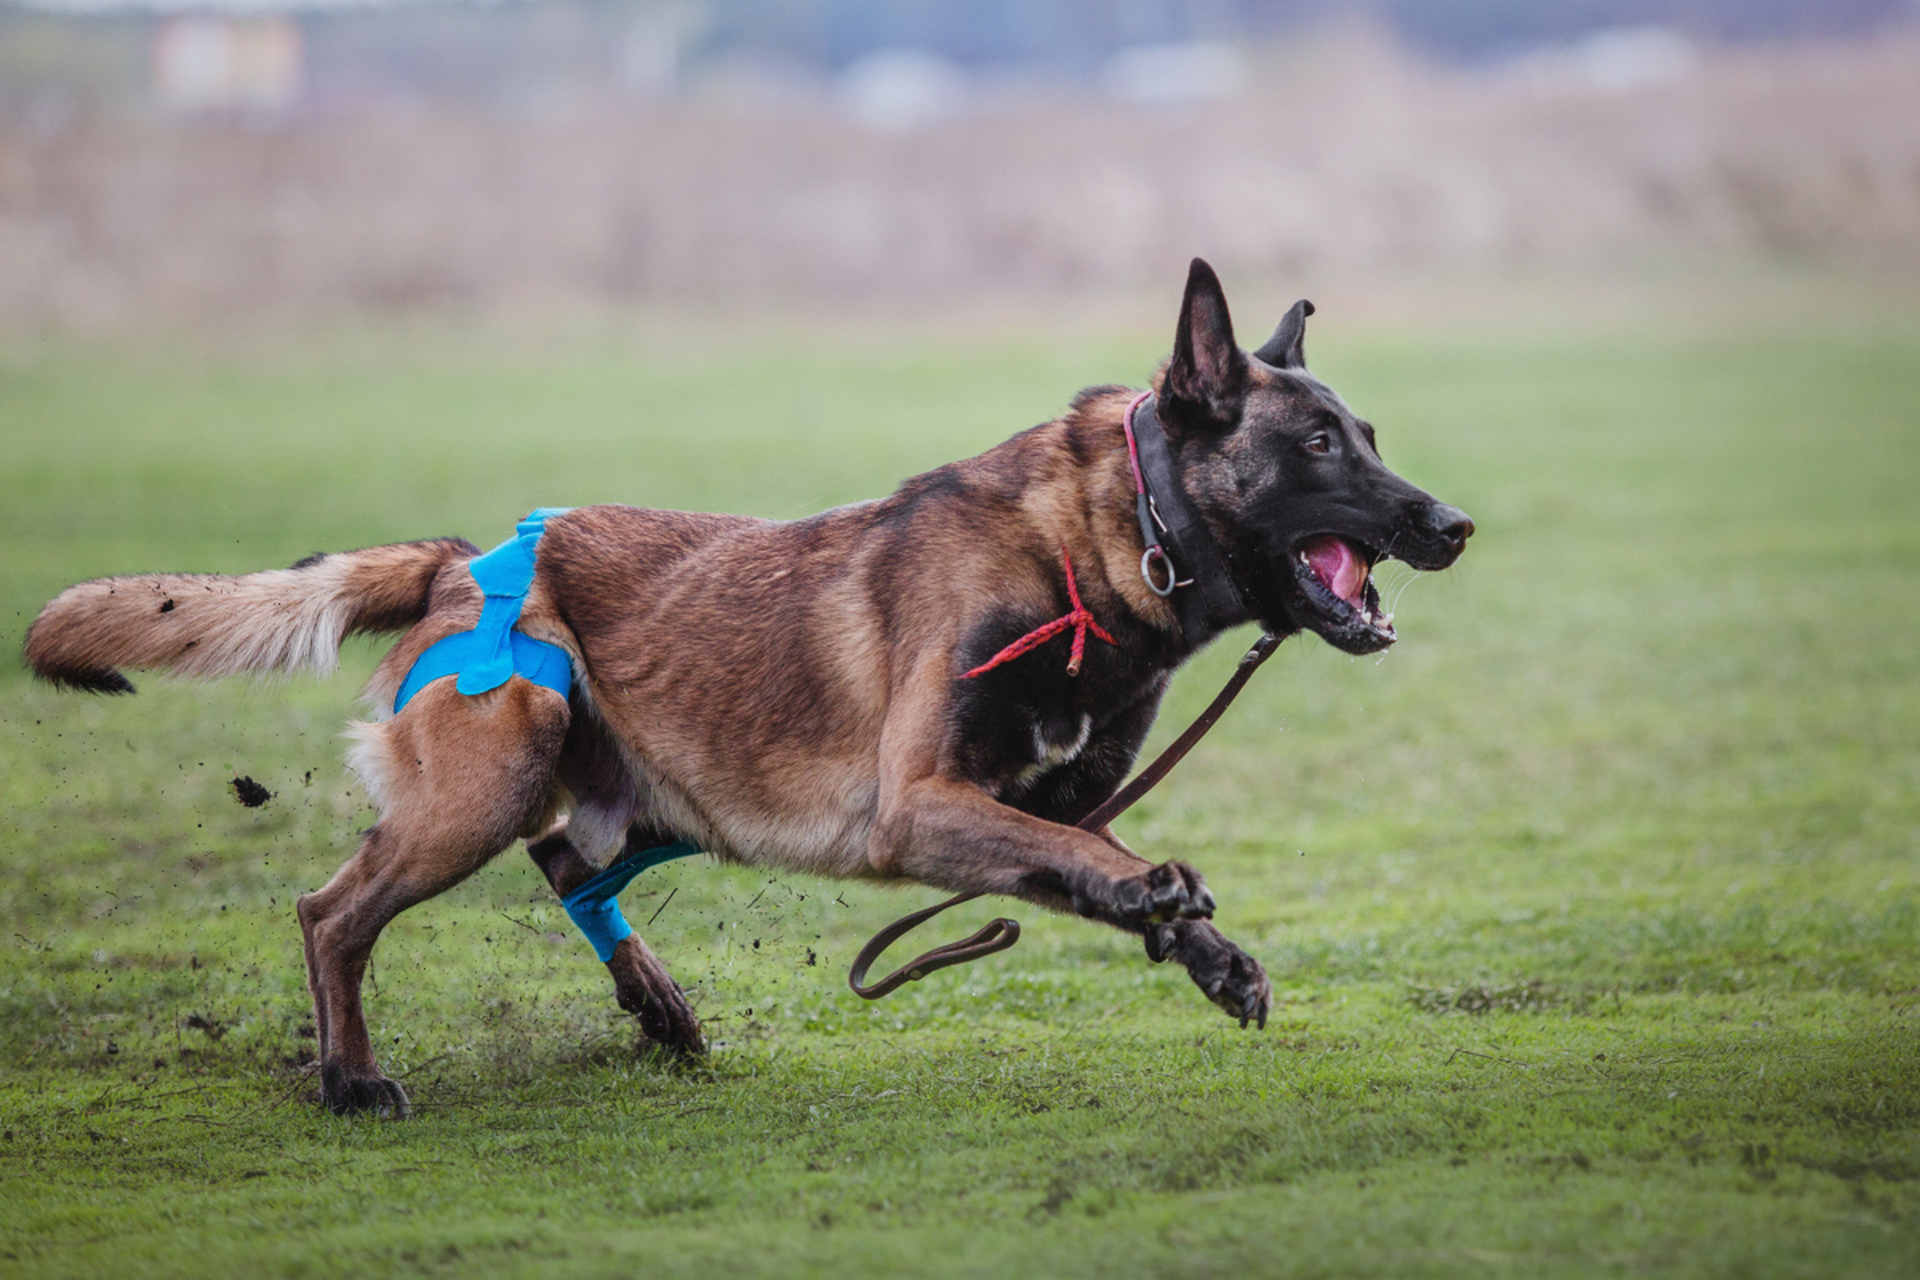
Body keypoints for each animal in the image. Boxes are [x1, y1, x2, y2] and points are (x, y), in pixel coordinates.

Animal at [26, 262, 1466, 1120]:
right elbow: (1087, 858)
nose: (1452, 525)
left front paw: (1209, 953)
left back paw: (652, 1003)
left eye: (1372, 436)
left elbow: (1086, 855)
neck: (1102, 542)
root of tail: (454, 560)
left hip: (650, 792)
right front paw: (1168, 903)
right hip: (498, 770)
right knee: (334, 913)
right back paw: (350, 1076)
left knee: (567, 861)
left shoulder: (1051, 797)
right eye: (1322, 443)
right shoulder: (918, 806)